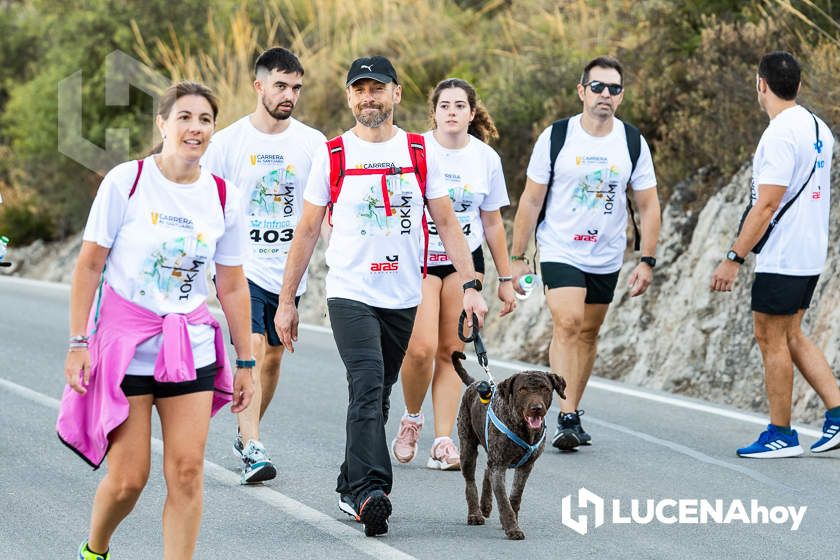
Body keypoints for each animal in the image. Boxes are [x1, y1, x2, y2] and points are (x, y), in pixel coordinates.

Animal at [452, 352, 564, 540]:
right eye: (522, 389)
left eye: (545, 388)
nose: (536, 408)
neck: (523, 429)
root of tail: (475, 384)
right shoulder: (499, 466)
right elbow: (504, 501)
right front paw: (512, 528)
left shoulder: (526, 466)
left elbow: (515, 497)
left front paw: (511, 521)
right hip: (467, 449)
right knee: (470, 482)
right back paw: (475, 514)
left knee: (486, 471)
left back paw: (486, 505)